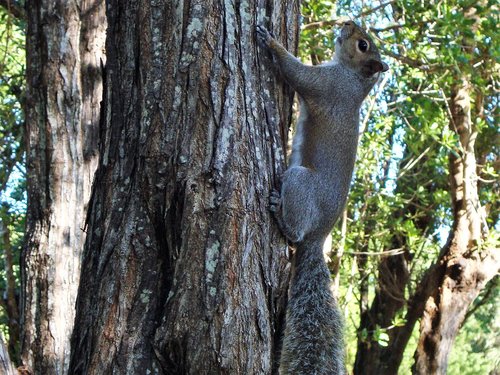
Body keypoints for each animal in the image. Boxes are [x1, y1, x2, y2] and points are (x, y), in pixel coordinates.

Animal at [256, 22, 388, 374]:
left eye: (363, 44)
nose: (346, 23)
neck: (353, 79)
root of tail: (319, 235)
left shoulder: (326, 86)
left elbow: (297, 73)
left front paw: (271, 41)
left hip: (300, 182)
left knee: (295, 230)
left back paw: (280, 214)